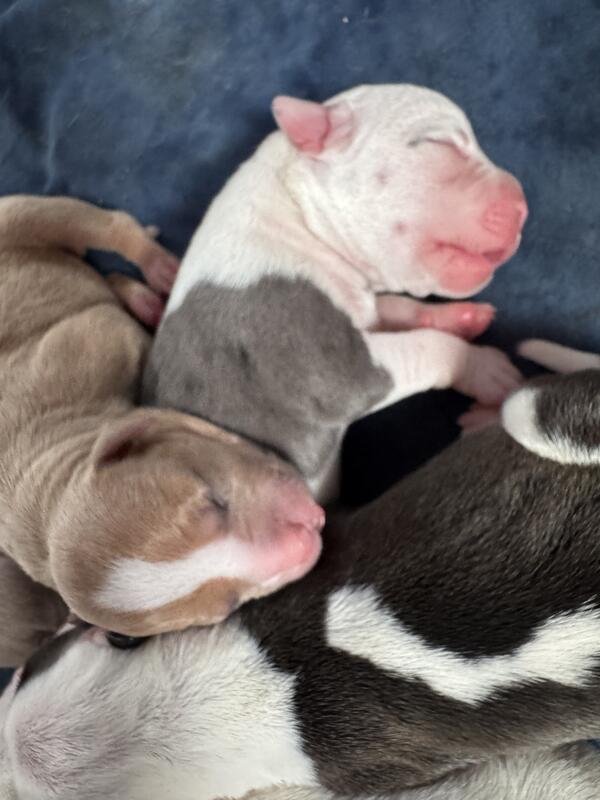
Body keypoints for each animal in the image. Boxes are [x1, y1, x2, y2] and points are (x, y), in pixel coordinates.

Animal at [0, 195, 324, 649]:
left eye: (213, 500)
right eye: (226, 605)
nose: (308, 529)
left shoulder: (93, 340)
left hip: (17, 220)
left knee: (97, 225)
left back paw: (156, 271)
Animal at [141, 83, 527, 501]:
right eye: (438, 144)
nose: (522, 206)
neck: (297, 213)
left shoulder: (359, 301)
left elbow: (396, 308)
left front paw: (460, 318)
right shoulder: (315, 355)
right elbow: (426, 347)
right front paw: (485, 367)